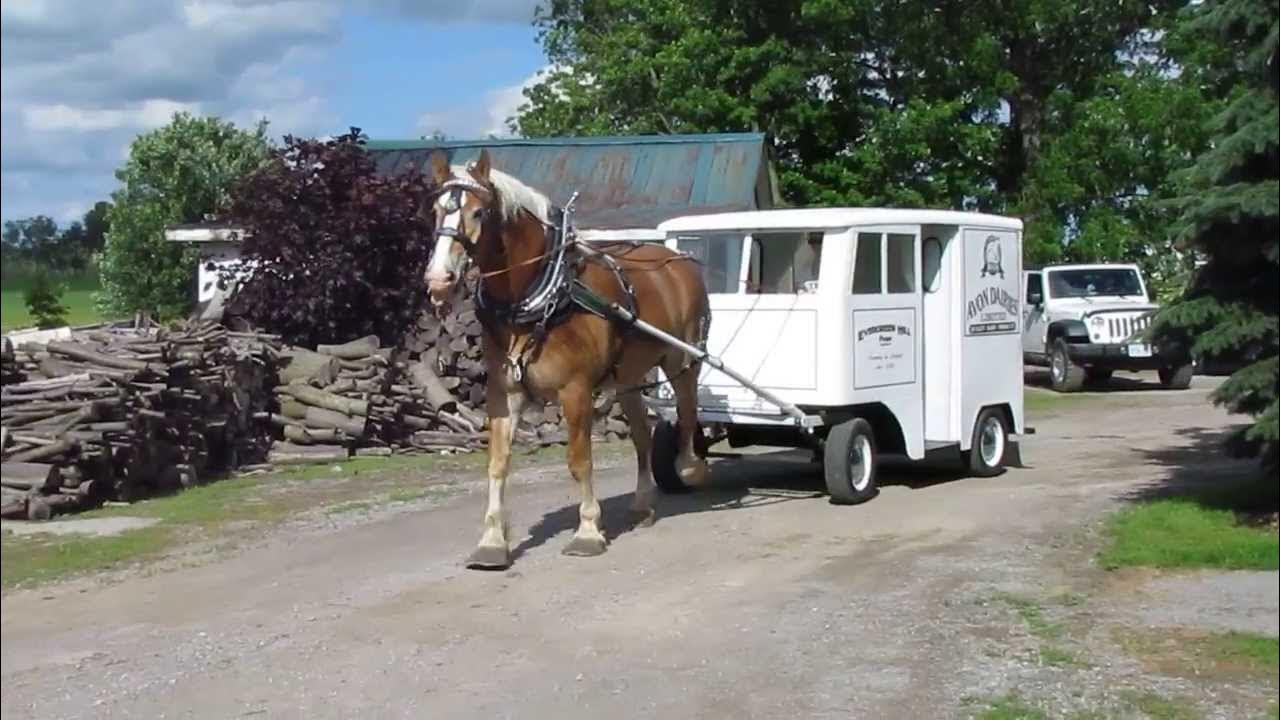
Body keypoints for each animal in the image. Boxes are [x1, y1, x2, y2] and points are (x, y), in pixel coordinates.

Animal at [420, 148, 711, 570]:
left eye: (478, 213)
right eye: (436, 210)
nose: (438, 280)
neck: (541, 294)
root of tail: (678, 259)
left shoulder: (575, 390)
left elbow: (579, 460)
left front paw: (587, 531)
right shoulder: (504, 392)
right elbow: (498, 463)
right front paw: (492, 540)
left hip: (682, 360)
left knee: (688, 414)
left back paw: (690, 467)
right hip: (627, 377)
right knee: (642, 436)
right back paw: (642, 503)